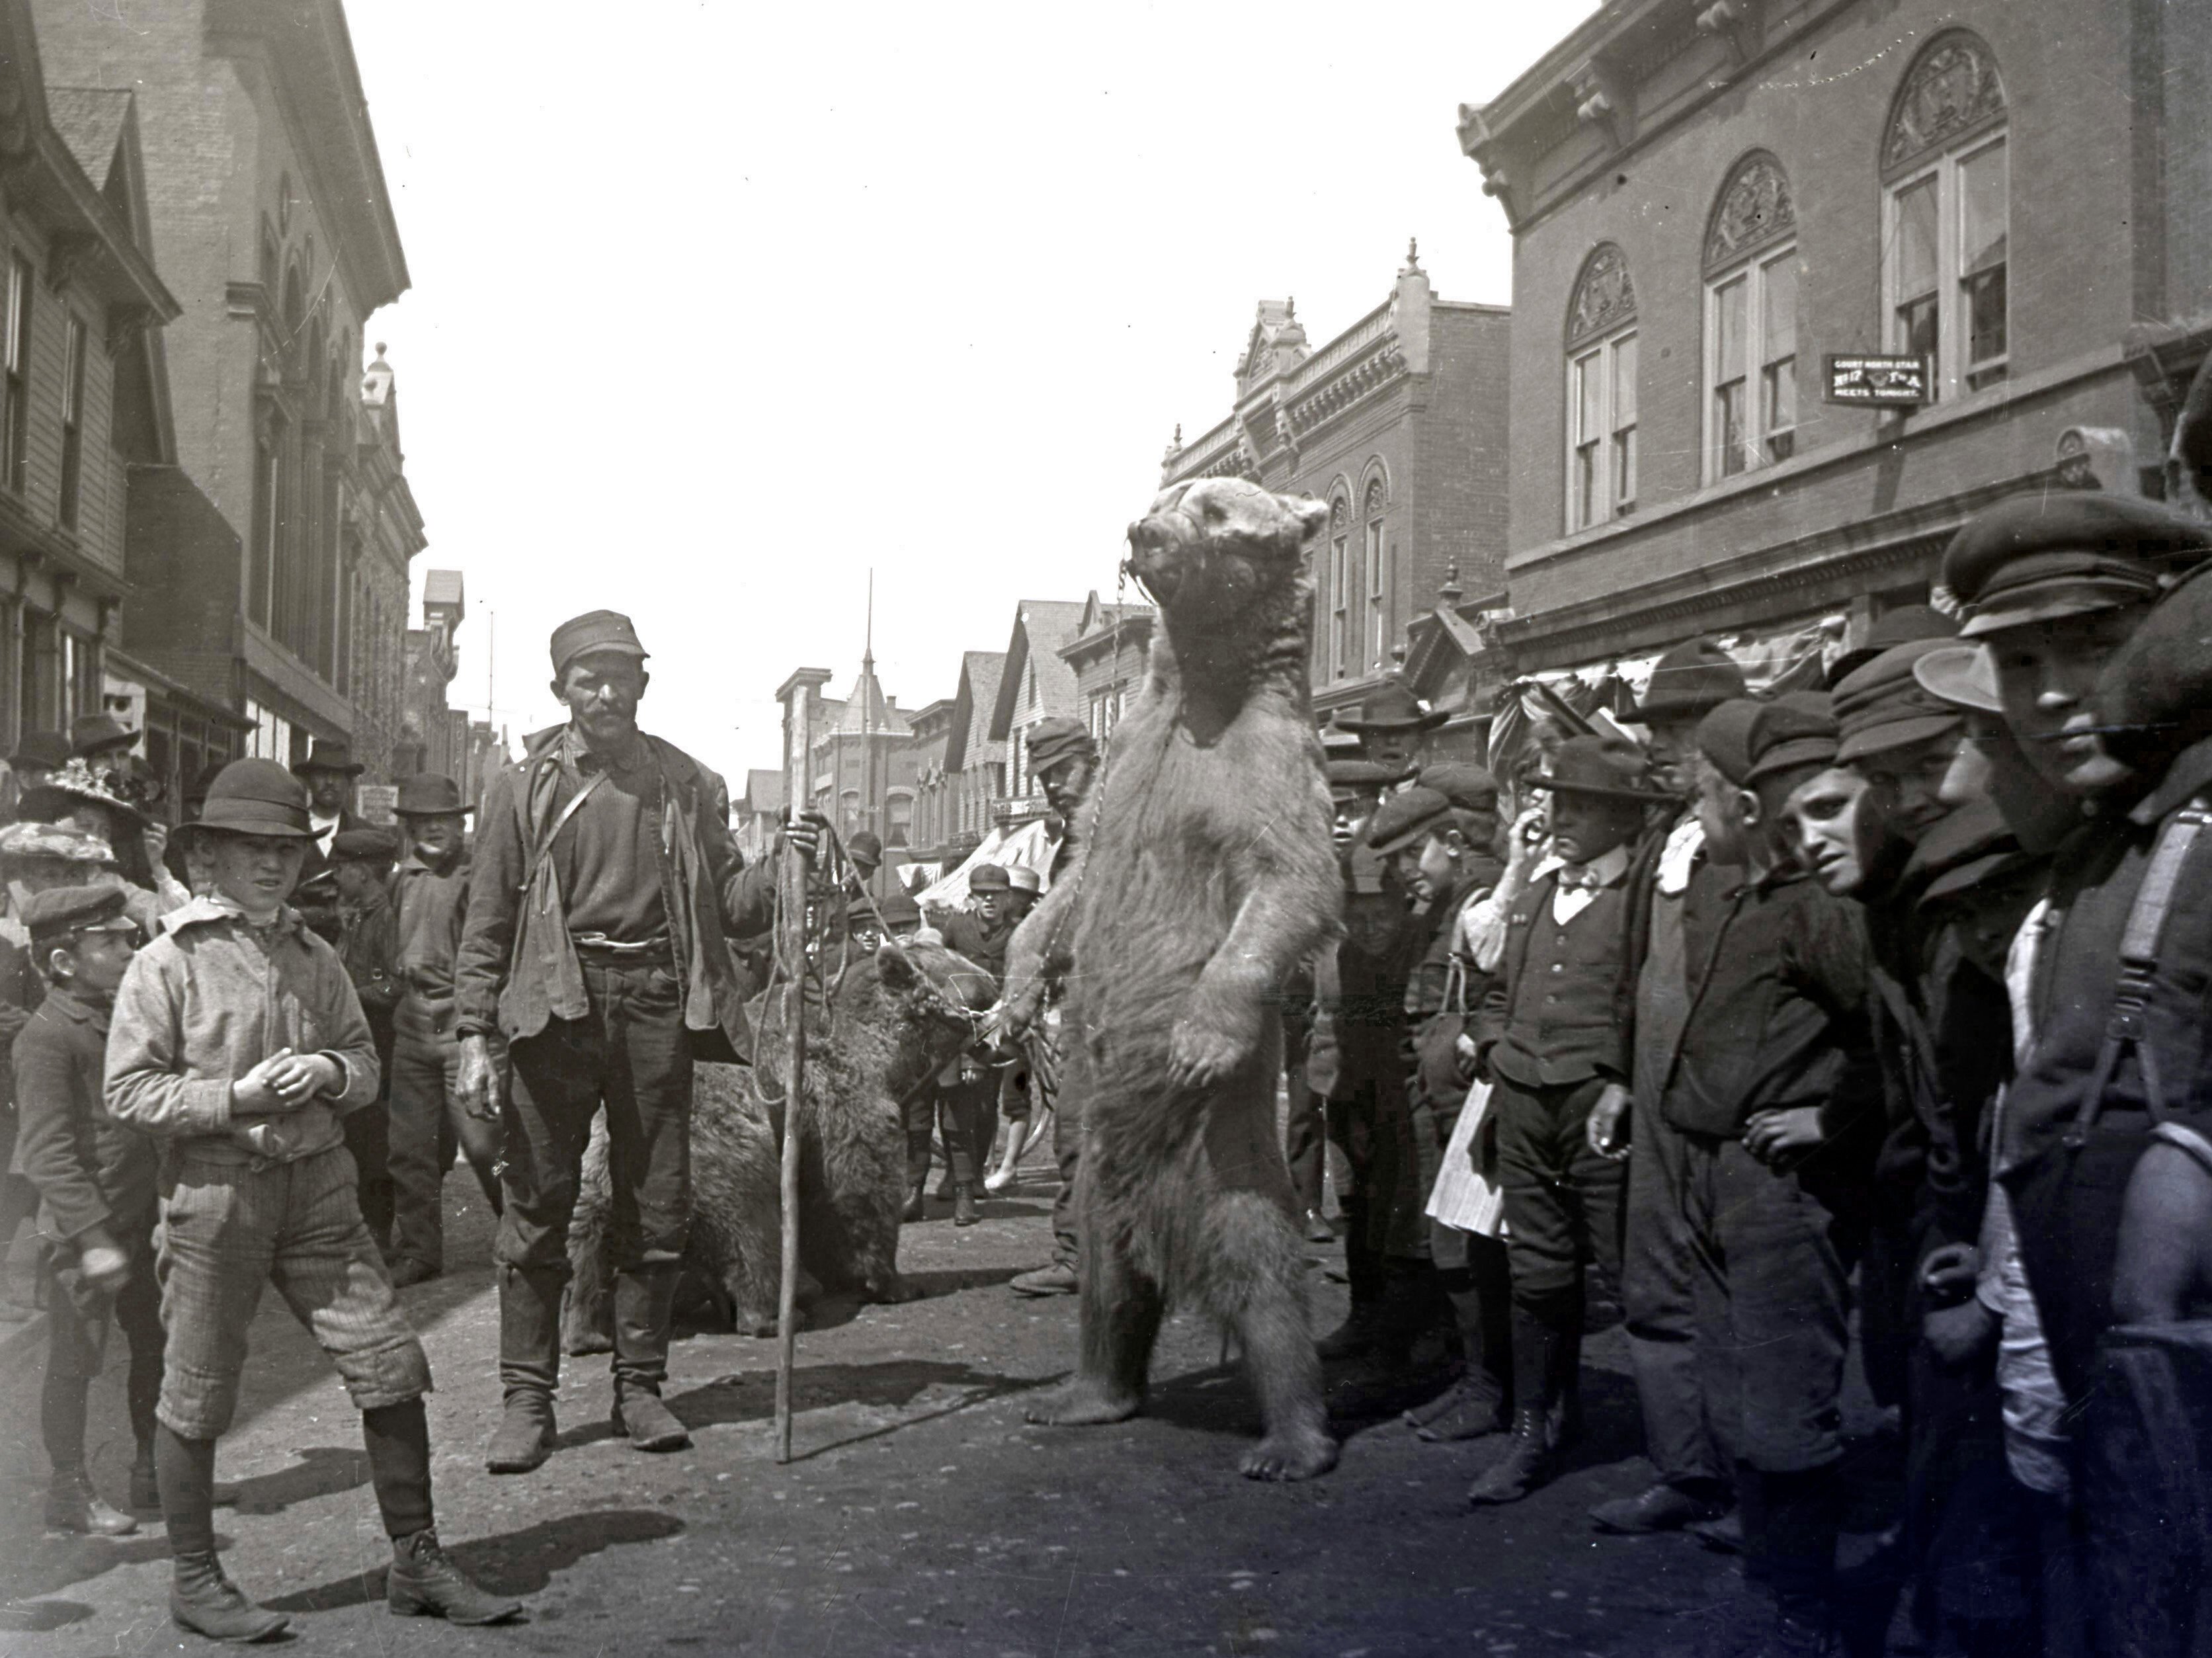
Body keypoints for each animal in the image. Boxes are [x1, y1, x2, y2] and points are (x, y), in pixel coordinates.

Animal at [999, 471, 1336, 1478]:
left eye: (1220, 511)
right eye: (1176, 492)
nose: (1143, 529)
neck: (1201, 691)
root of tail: (1170, 1228)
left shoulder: (1266, 764)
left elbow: (1293, 878)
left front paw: (1200, 1034)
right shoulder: (1127, 768)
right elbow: (1076, 879)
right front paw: (1014, 986)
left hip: (1224, 1148)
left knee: (1264, 1266)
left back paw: (1290, 1438)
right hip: (1105, 1165)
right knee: (1110, 1277)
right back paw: (1085, 1393)